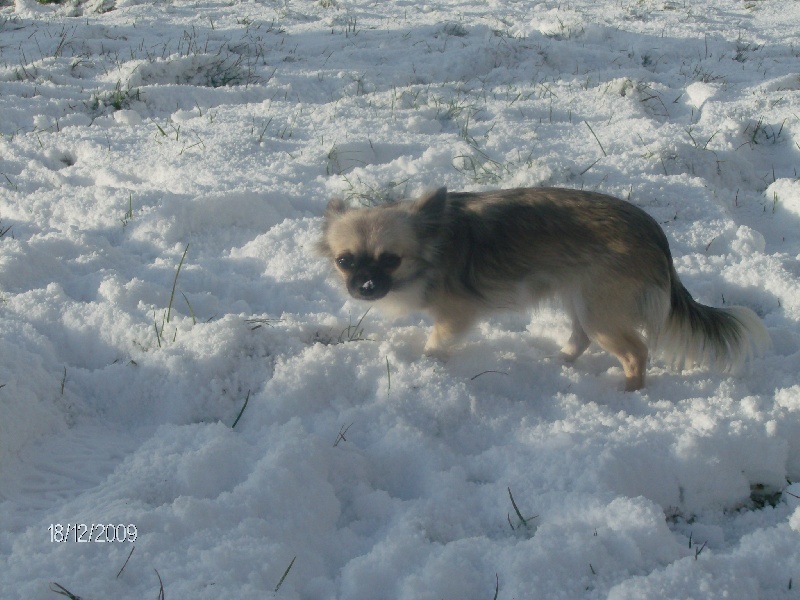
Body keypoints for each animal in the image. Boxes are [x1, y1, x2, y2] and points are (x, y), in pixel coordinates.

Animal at [318, 189, 768, 394]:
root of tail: (655, 234)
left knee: (636, 352)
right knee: (581, 338)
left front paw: (427, 365)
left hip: (599, 311)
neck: (433, 245)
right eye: (345, 261)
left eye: (391, 259)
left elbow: (436, 343)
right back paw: (560, 362)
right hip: (580, 301)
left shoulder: (454, 316)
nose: (365, 286)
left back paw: (629, 393)